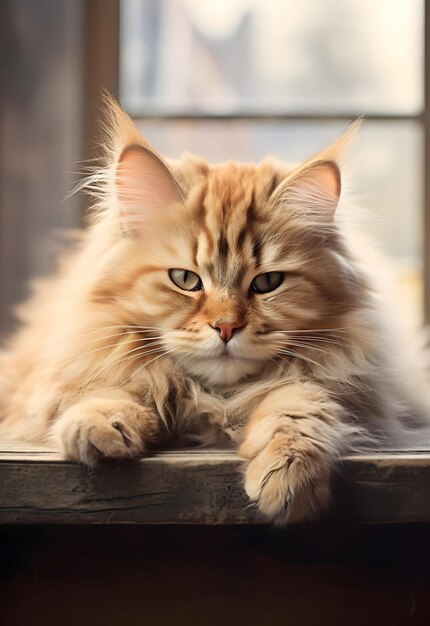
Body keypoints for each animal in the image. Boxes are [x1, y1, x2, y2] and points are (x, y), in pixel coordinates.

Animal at [0, 94, 430, 520]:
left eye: (267, 283)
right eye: (185, 279)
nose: (225, 328)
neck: (215, 399)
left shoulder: (350, 385)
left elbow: (297, 401)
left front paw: (287, 475)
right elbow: (124, 383)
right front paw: (100, 422)